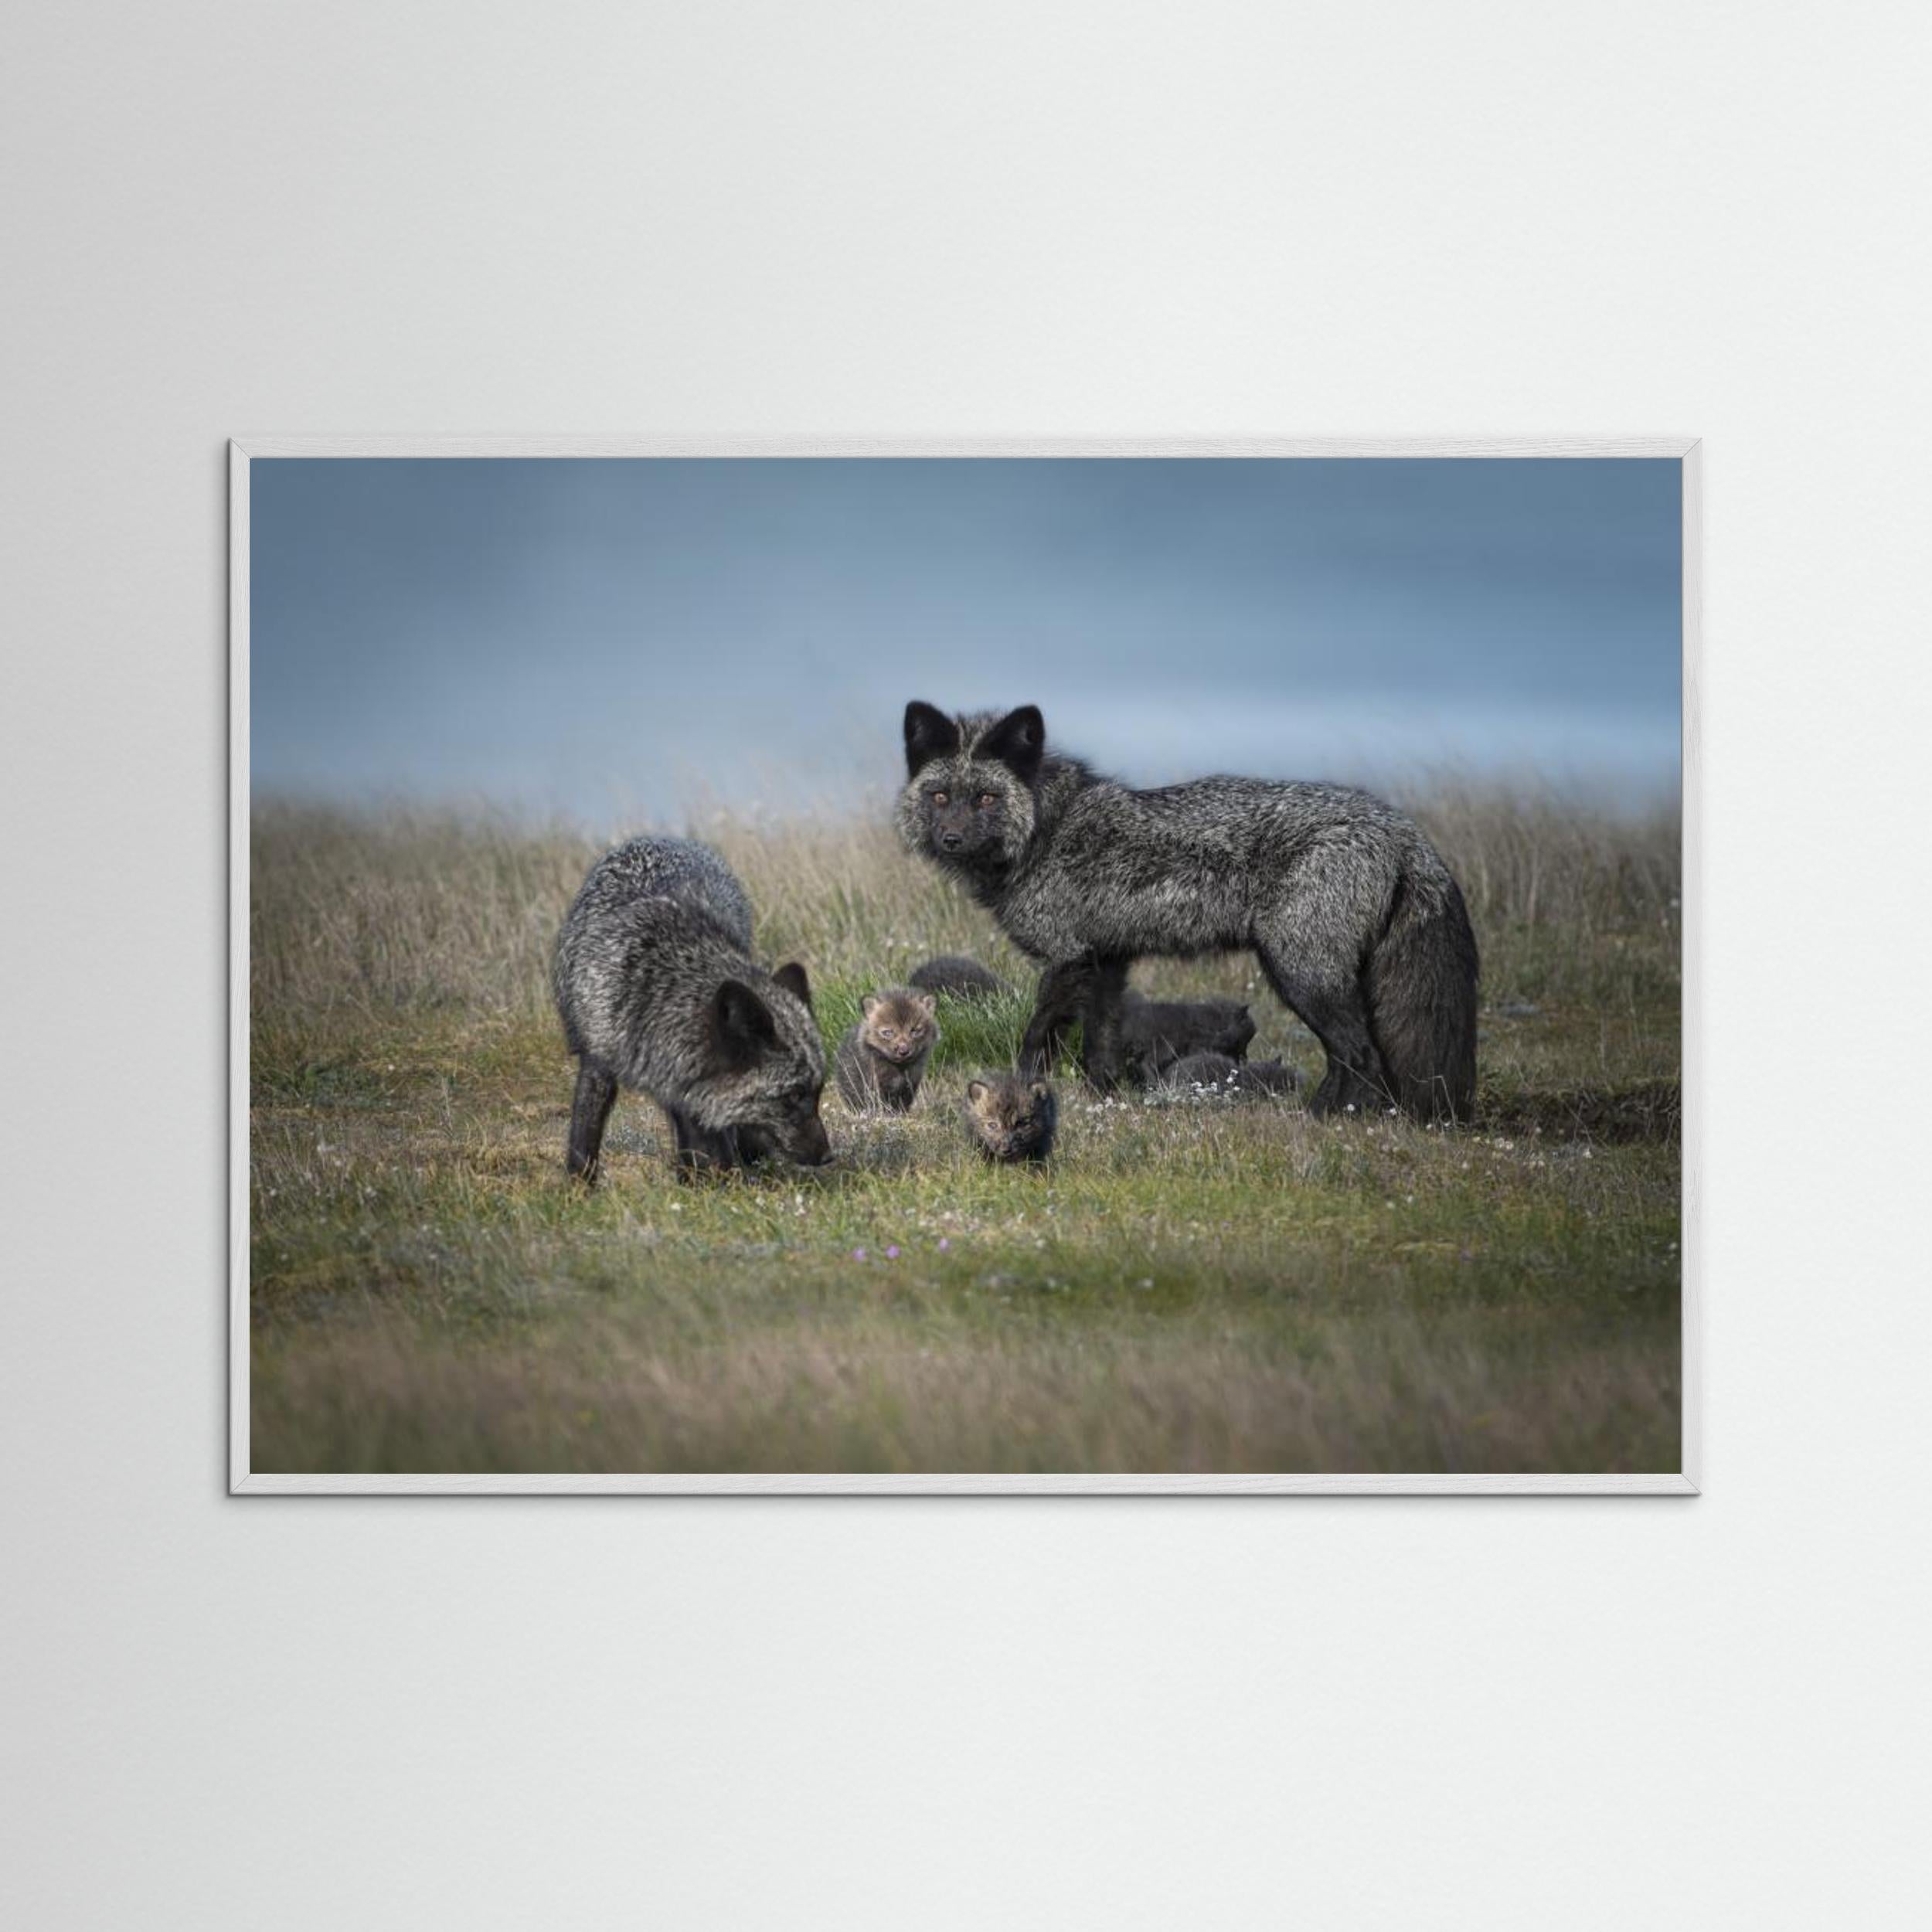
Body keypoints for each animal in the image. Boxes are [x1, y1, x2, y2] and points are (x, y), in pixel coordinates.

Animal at [552, 836, 831, 1179]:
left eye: (819, 1091)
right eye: (792, 1096)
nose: (828, 1156)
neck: (653, 984)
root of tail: (656, 838)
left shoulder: (687, 1083)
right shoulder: (598, 1062)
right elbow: (584, 1134)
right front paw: (580, 1185)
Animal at [834, 988, 939, 1111]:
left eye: (915, 1031)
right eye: (888, 1032)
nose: (903, 1051)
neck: (900, 1069)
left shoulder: (910, 1084)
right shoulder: (873, 1085)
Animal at [897, 701, 1479, 1122]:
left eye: (987, 799)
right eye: (941, 796)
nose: (950, 839)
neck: (1046, 830)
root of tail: (1401, 828)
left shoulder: (1068, 958)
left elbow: (1038, 1035)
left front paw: (1021, 1092)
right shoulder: (1106, 961)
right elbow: (1100, 1042)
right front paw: (1103, 1099)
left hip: (1300, 974)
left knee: (1360, 1054)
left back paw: (1324, 1119)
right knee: (1352, 1055)